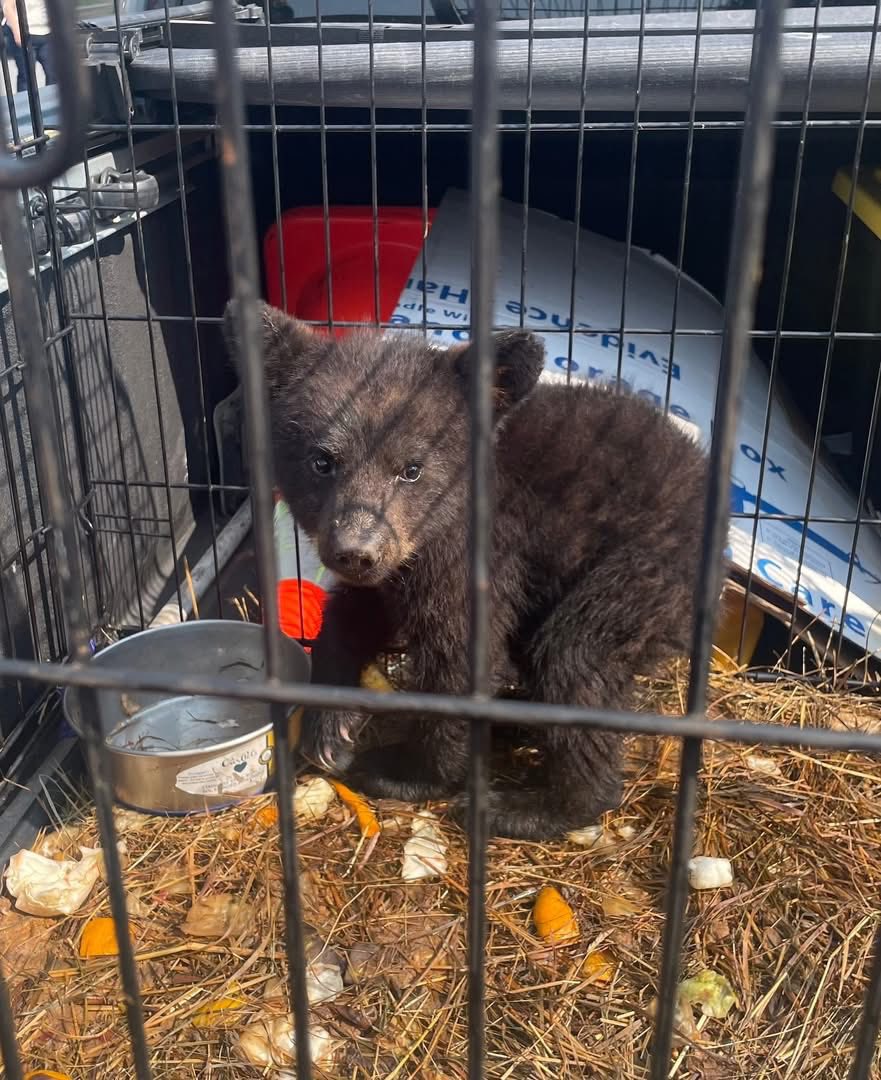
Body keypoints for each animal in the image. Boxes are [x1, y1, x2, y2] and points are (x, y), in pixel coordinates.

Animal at [224, 301, 708, 840]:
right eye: (322, 461)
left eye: (411, 469)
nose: (356, 551)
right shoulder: (399, 566)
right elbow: (356, 614)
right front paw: (330, 725)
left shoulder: (477, 553)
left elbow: (459, 659)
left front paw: (408, 774)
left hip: (640, 570)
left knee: (576, 661)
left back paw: (539, 806)